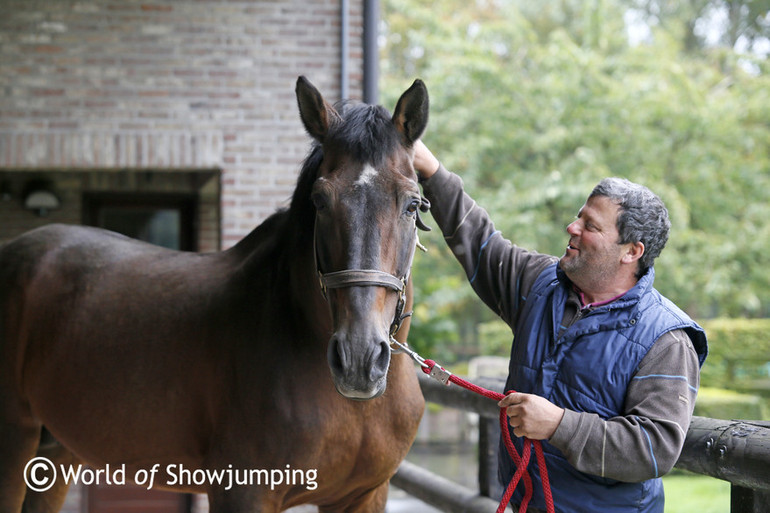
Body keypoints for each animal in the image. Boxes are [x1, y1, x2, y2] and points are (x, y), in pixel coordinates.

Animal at [0, 76, 426, 512]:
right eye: (320, 201)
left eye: (413, 204)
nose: (359, 359)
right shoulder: (242, 492)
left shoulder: (364, 495)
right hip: (13, 440)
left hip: (56, 451)